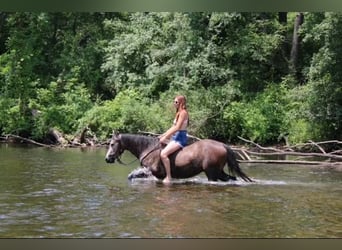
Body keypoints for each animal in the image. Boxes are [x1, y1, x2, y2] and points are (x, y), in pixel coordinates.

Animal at [105, 133, 252, 184]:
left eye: (112, 144)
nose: (107, 159)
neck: (148, 149)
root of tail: (222, 145)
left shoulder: (152, 172)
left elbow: (134, 175)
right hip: (218, 171)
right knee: (231, 178)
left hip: (211, 172)